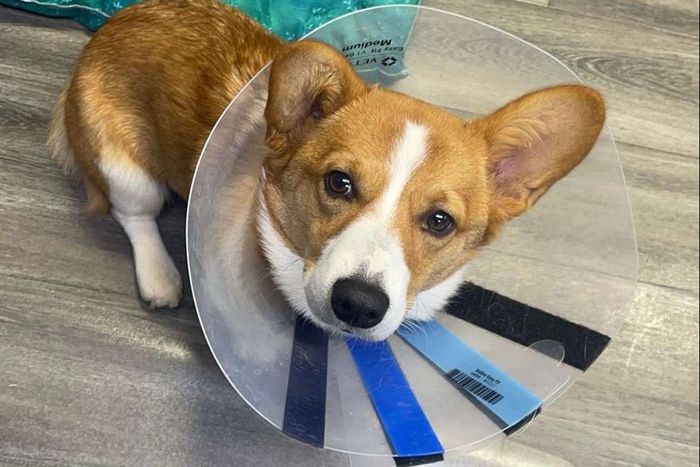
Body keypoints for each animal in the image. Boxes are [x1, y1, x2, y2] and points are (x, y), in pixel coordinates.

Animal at [50, 0, 608, 344]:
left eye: (440, 221)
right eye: (339, 183)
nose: (358, 305)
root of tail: (117, 21)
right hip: (124, 169)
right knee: (134, 214)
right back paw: (161, 276)